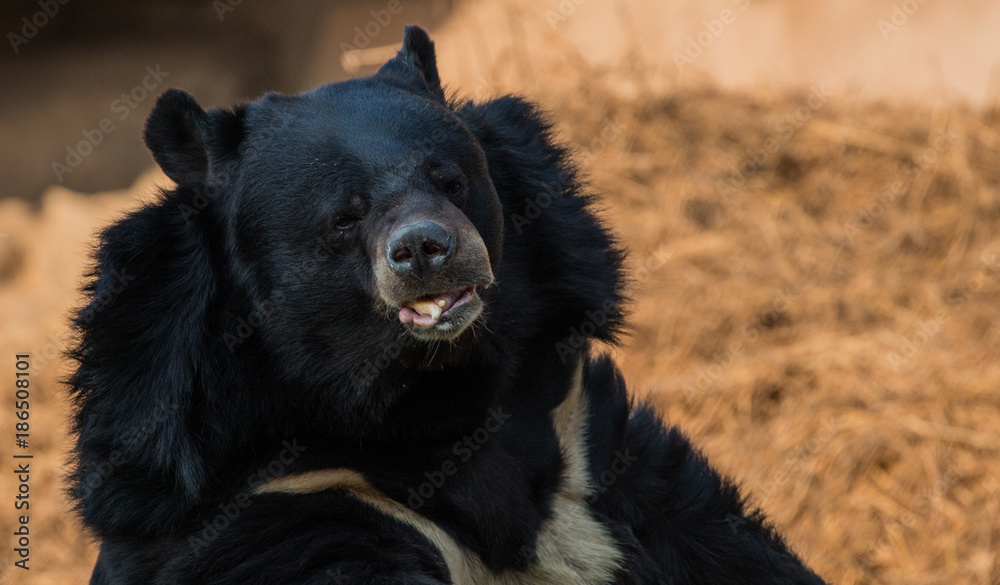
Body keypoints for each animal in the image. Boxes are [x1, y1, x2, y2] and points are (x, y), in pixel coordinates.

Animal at [70, 24, 828, 584]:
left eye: (451, 179)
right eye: (345, 216)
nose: (426, 248)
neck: (426, 396)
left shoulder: (583, 444)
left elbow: (715, 542)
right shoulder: (267, 498)